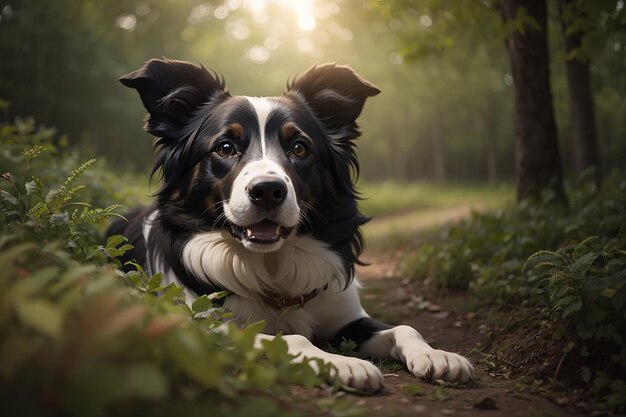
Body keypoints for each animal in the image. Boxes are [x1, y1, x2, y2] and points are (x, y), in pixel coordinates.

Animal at [111, 58, 472, 390]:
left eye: (299, 148)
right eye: (225, 147)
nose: (268, 191)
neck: (272, 268)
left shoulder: (345, 316)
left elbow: (405, 327)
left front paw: (437, 355)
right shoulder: (208, 328)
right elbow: (293, 338)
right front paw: (342, 363)